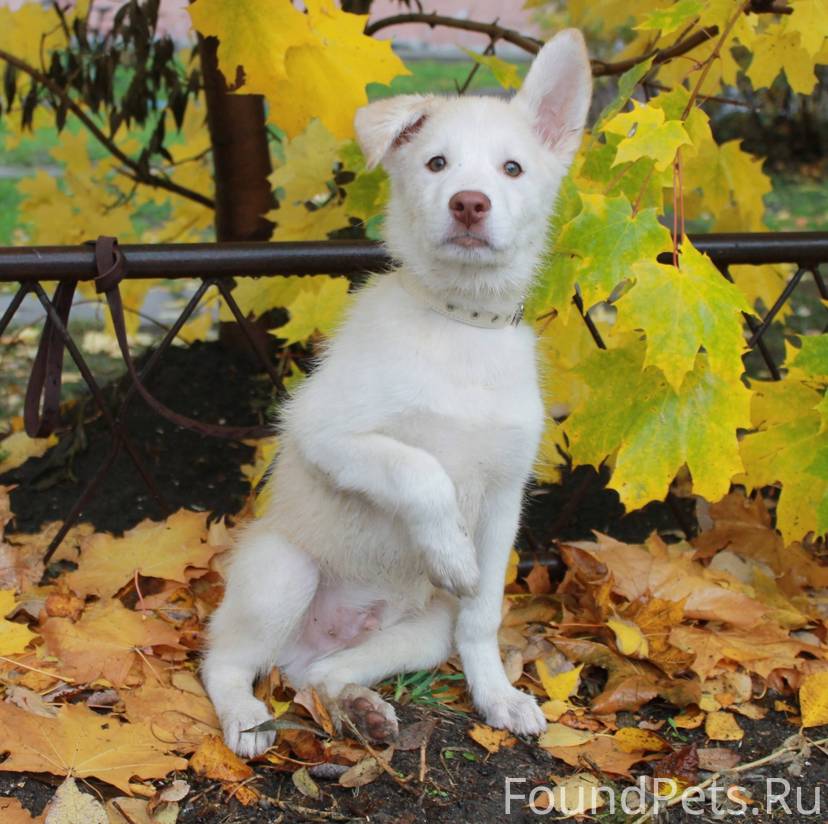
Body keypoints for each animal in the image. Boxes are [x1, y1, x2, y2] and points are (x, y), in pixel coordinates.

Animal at [202, 29, 592, 758]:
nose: (469, 202)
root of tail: (306, 643)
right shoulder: (327, 433)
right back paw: (246, 717)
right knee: (226, 663)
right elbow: (419, 467)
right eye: (436, 163)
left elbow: (482, 614)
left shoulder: (504, 500)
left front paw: (496, 696)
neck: (459, 322)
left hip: (420, 631)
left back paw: (360, 709)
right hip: (282, 571)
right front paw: (448, 551)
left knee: (320, 675)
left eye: (513, 169)